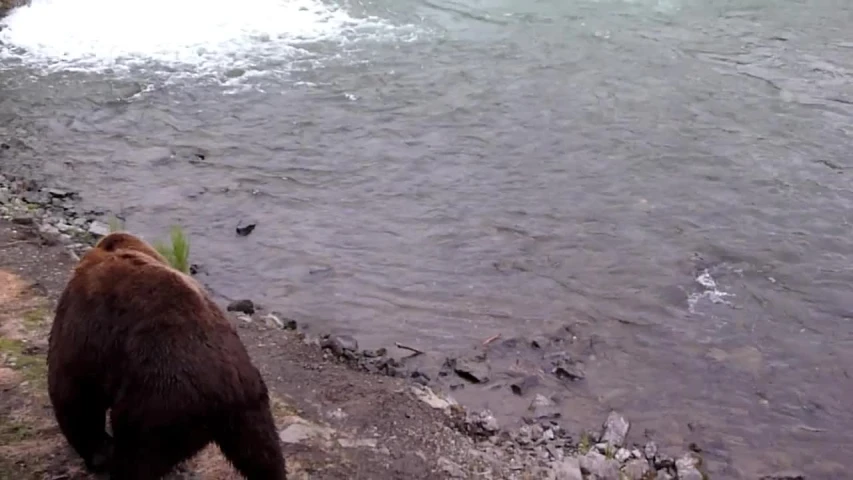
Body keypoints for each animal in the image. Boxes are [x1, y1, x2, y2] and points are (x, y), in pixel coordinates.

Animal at [47, 231, 286, 478]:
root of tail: (226, 393)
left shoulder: (84, 330)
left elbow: (74, 396)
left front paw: (98, 455)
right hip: (250, 408)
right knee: (263, 455)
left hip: (157, 402)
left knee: (136, 458)